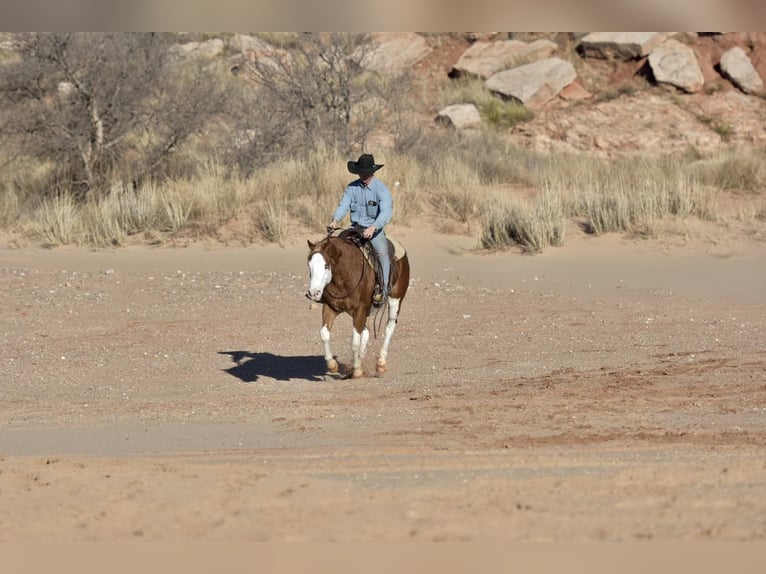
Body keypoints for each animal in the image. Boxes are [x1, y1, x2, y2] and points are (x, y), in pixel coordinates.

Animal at [308, 232, 412, 380]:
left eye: (326, 266)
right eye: (309, 266)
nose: (313, 292)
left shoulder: (360, 310)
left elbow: (355, 342)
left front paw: (357, 370)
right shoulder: (330, 307)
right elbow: (324, 333)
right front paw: (332, 364)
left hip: (395, 299)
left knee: (389, 326)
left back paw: (381, 363)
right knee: (366, 331)